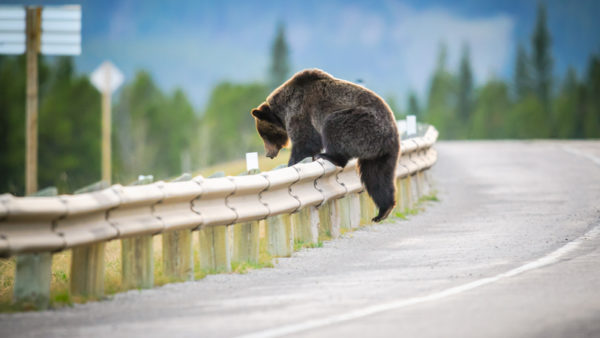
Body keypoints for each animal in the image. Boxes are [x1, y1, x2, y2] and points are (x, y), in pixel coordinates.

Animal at [251, 68, 400, 222]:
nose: (269, 154)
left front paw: (292, 162)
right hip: (381, 153)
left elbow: (305, 142)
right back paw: (383, 211)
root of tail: (389, 133)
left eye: (265, 135)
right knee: (377, 176)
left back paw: (327, 155)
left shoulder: (301, 111)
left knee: (334, 126)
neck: (283, 110)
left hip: (360, 122)